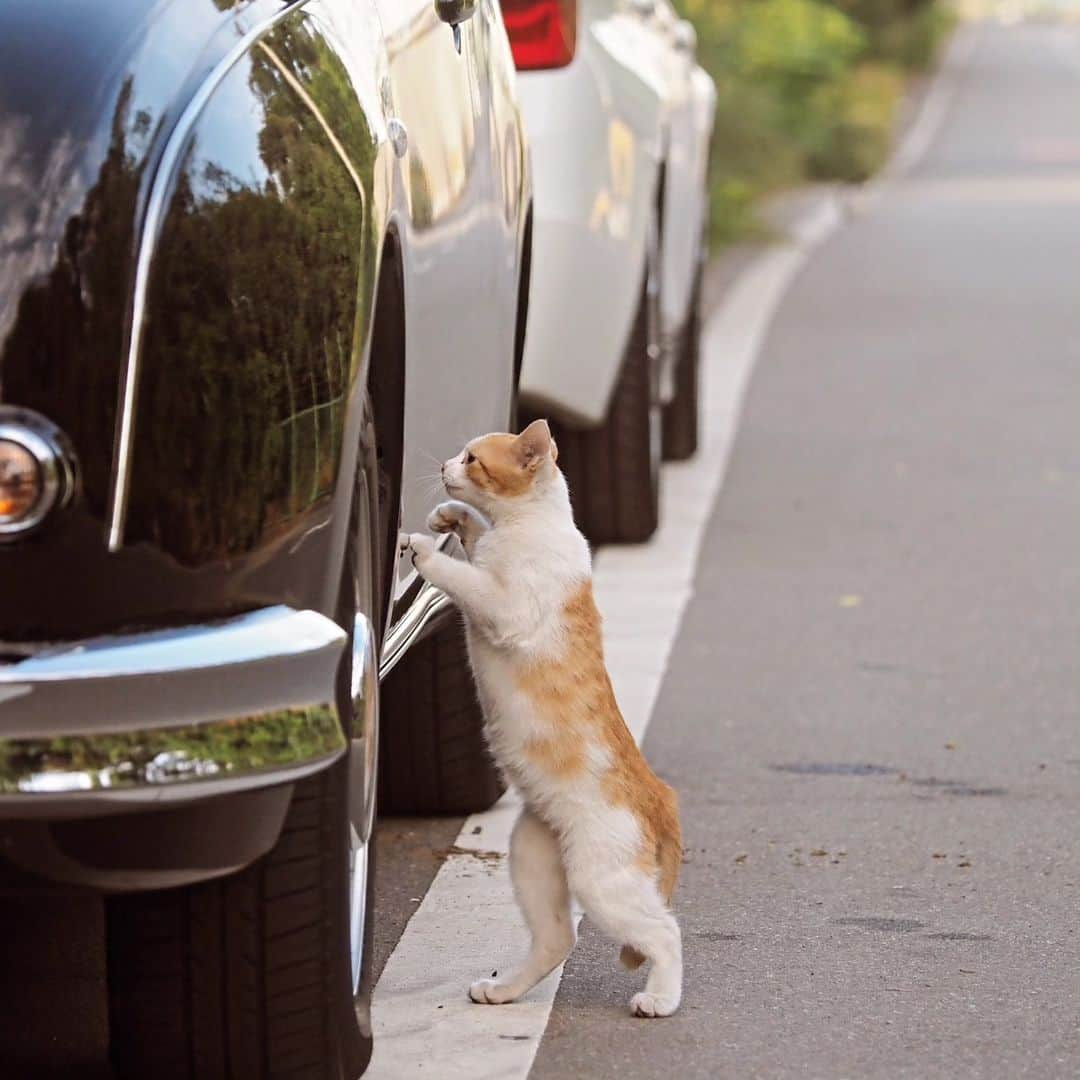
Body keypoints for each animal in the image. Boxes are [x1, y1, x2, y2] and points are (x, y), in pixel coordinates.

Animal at [406, 416, 682, 1015]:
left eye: (472, 459)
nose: (443, 466)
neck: (530, 524)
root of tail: (659, 794)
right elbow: (476, 543)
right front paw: (452, 519)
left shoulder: (505, 607)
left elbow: (465, 578)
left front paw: (428, 552)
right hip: (533, 858)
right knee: (558, 939)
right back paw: (503, 988)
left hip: (602, 881)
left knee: (665, 932)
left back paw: (660, 997)